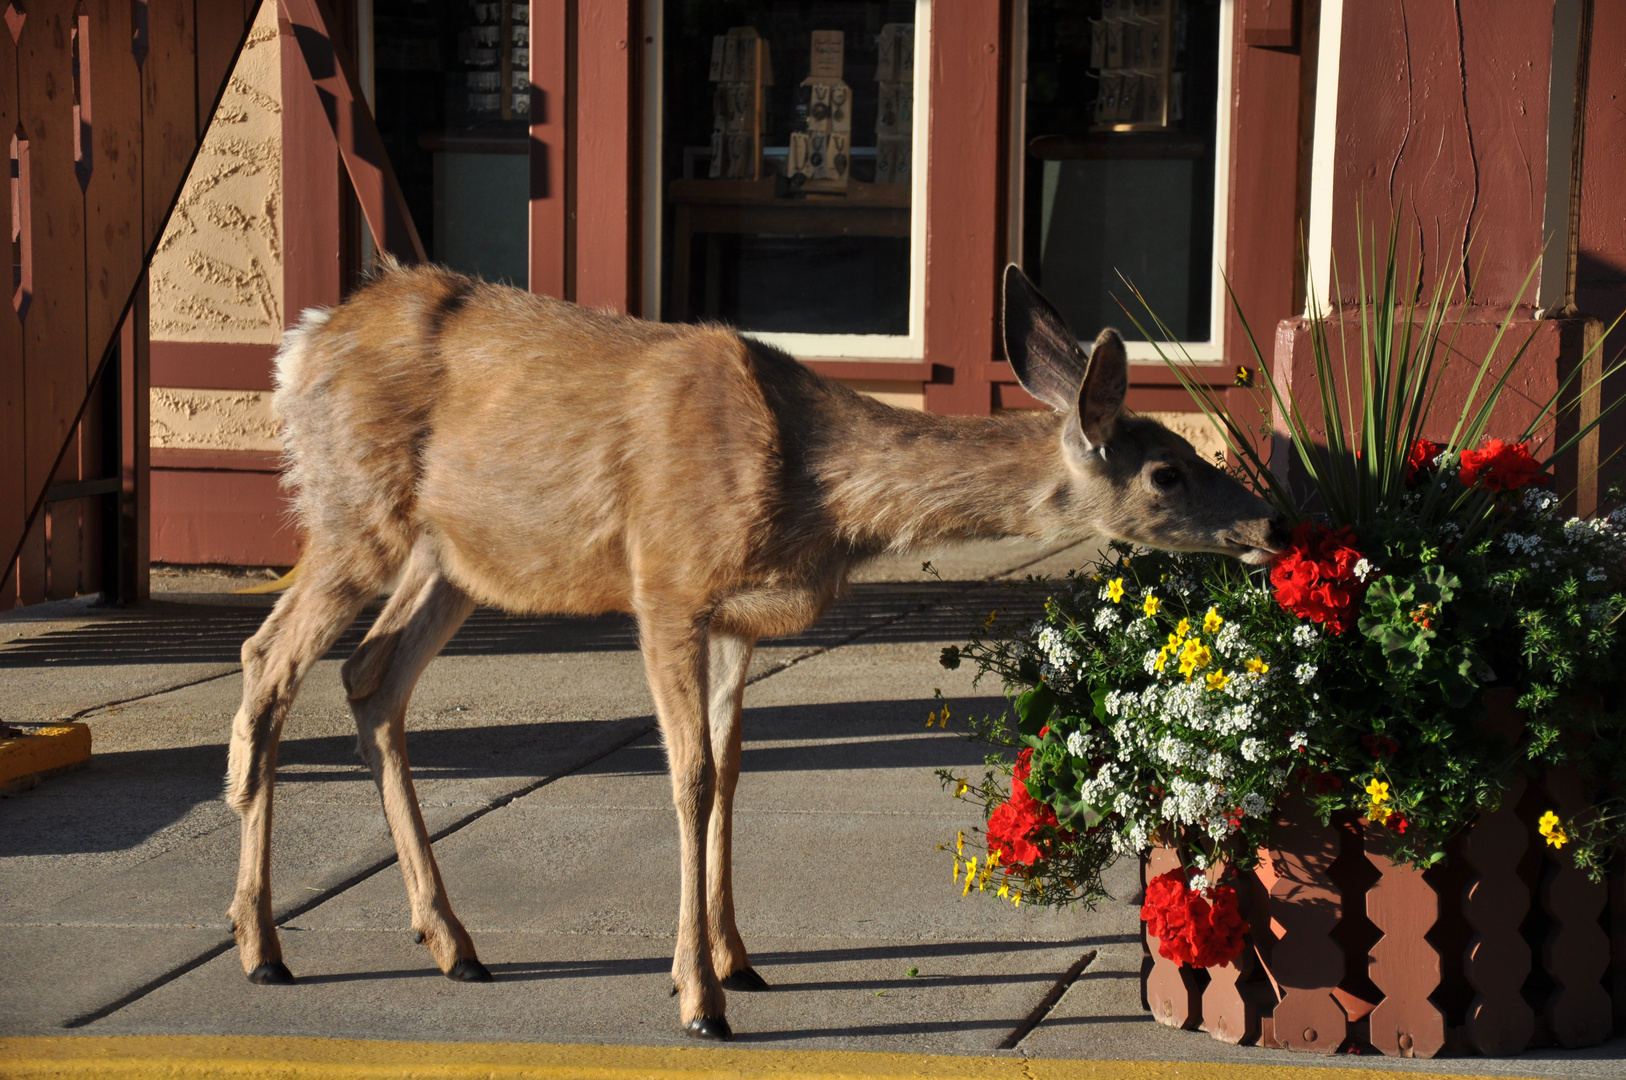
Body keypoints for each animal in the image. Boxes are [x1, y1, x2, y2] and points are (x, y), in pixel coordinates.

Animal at [229, 260, 1287, 1040]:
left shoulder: (738, 618)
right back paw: (262, 947)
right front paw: (700, 1000)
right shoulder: (665, 583)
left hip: (453, 555)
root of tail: (300, 342)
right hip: (353, 514)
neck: (816, 491)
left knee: (370, 679)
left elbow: (733, 772)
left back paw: (452, 943)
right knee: (268, 660)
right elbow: (690, 776)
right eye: (1168, 471)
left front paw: (739, 960)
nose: (1273, 524)